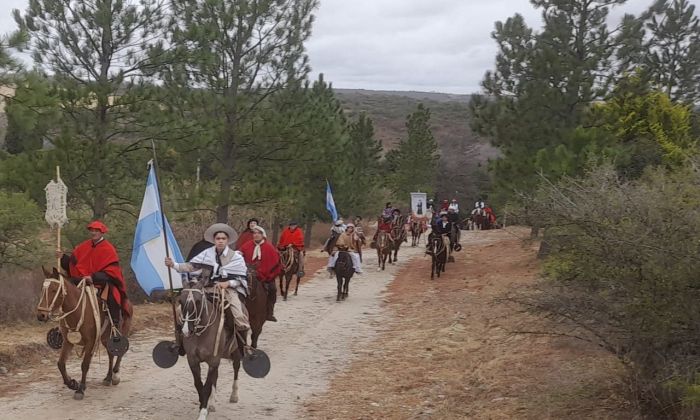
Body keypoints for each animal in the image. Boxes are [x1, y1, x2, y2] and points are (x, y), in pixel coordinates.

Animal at [36, 270, 133, 400]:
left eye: (54, 289)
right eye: (42, 289)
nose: (41, 315)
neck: (77, 311)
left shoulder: (90, 342)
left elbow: (85, 365)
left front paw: (80, 389)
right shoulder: (68, 341)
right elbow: (61, 364)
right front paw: (72, 383)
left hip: (121, 331)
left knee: (120, 351)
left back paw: (115, 374)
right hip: (105, 339)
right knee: (110, 354)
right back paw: (108, 377)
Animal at [179, 278, 245, 418]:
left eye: (198, 301)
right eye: (180, 301)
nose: (186, 330)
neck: (202, 333)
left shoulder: (213, 360)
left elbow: (207, 386)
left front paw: (203, 412)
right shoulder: (193, 360)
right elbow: (199, 384)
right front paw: (202, 405)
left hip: (235, 350)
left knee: (236, 368)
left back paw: (234, 395)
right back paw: (212, 403)